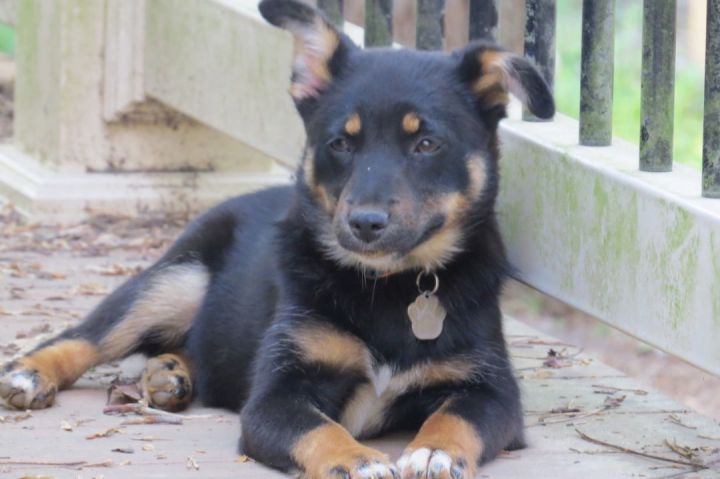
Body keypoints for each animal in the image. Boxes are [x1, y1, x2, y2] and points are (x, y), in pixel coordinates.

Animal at [0, 1, 556, 478]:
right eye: (340, 143)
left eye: (426, 143)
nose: (365, 222)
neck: (389, 287)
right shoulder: (276, 394)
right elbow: (319, 429)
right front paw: (357, 459)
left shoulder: (490, 389)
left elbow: (454, 417)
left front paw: (435, 451)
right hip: (175, 280)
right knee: (84, 335)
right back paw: (31, 374)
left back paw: (171, 372)